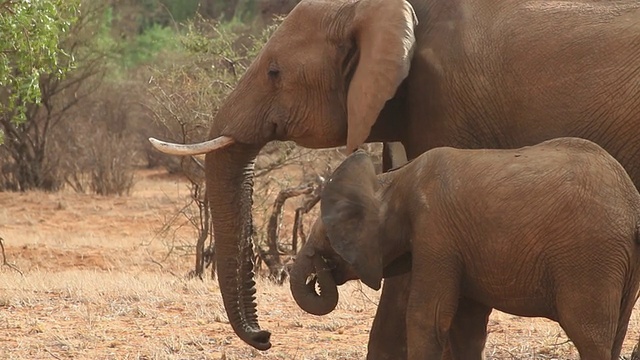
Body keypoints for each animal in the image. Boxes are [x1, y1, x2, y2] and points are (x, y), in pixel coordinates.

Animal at [288, 136, 640, 358]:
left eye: (327, 238)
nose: (318, 269)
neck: (393, 181)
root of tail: (631, 202)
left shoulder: (436, 233)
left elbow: (427, 317)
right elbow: (466, 328)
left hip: (590, 259)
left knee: (591, 338)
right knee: (615, 334)